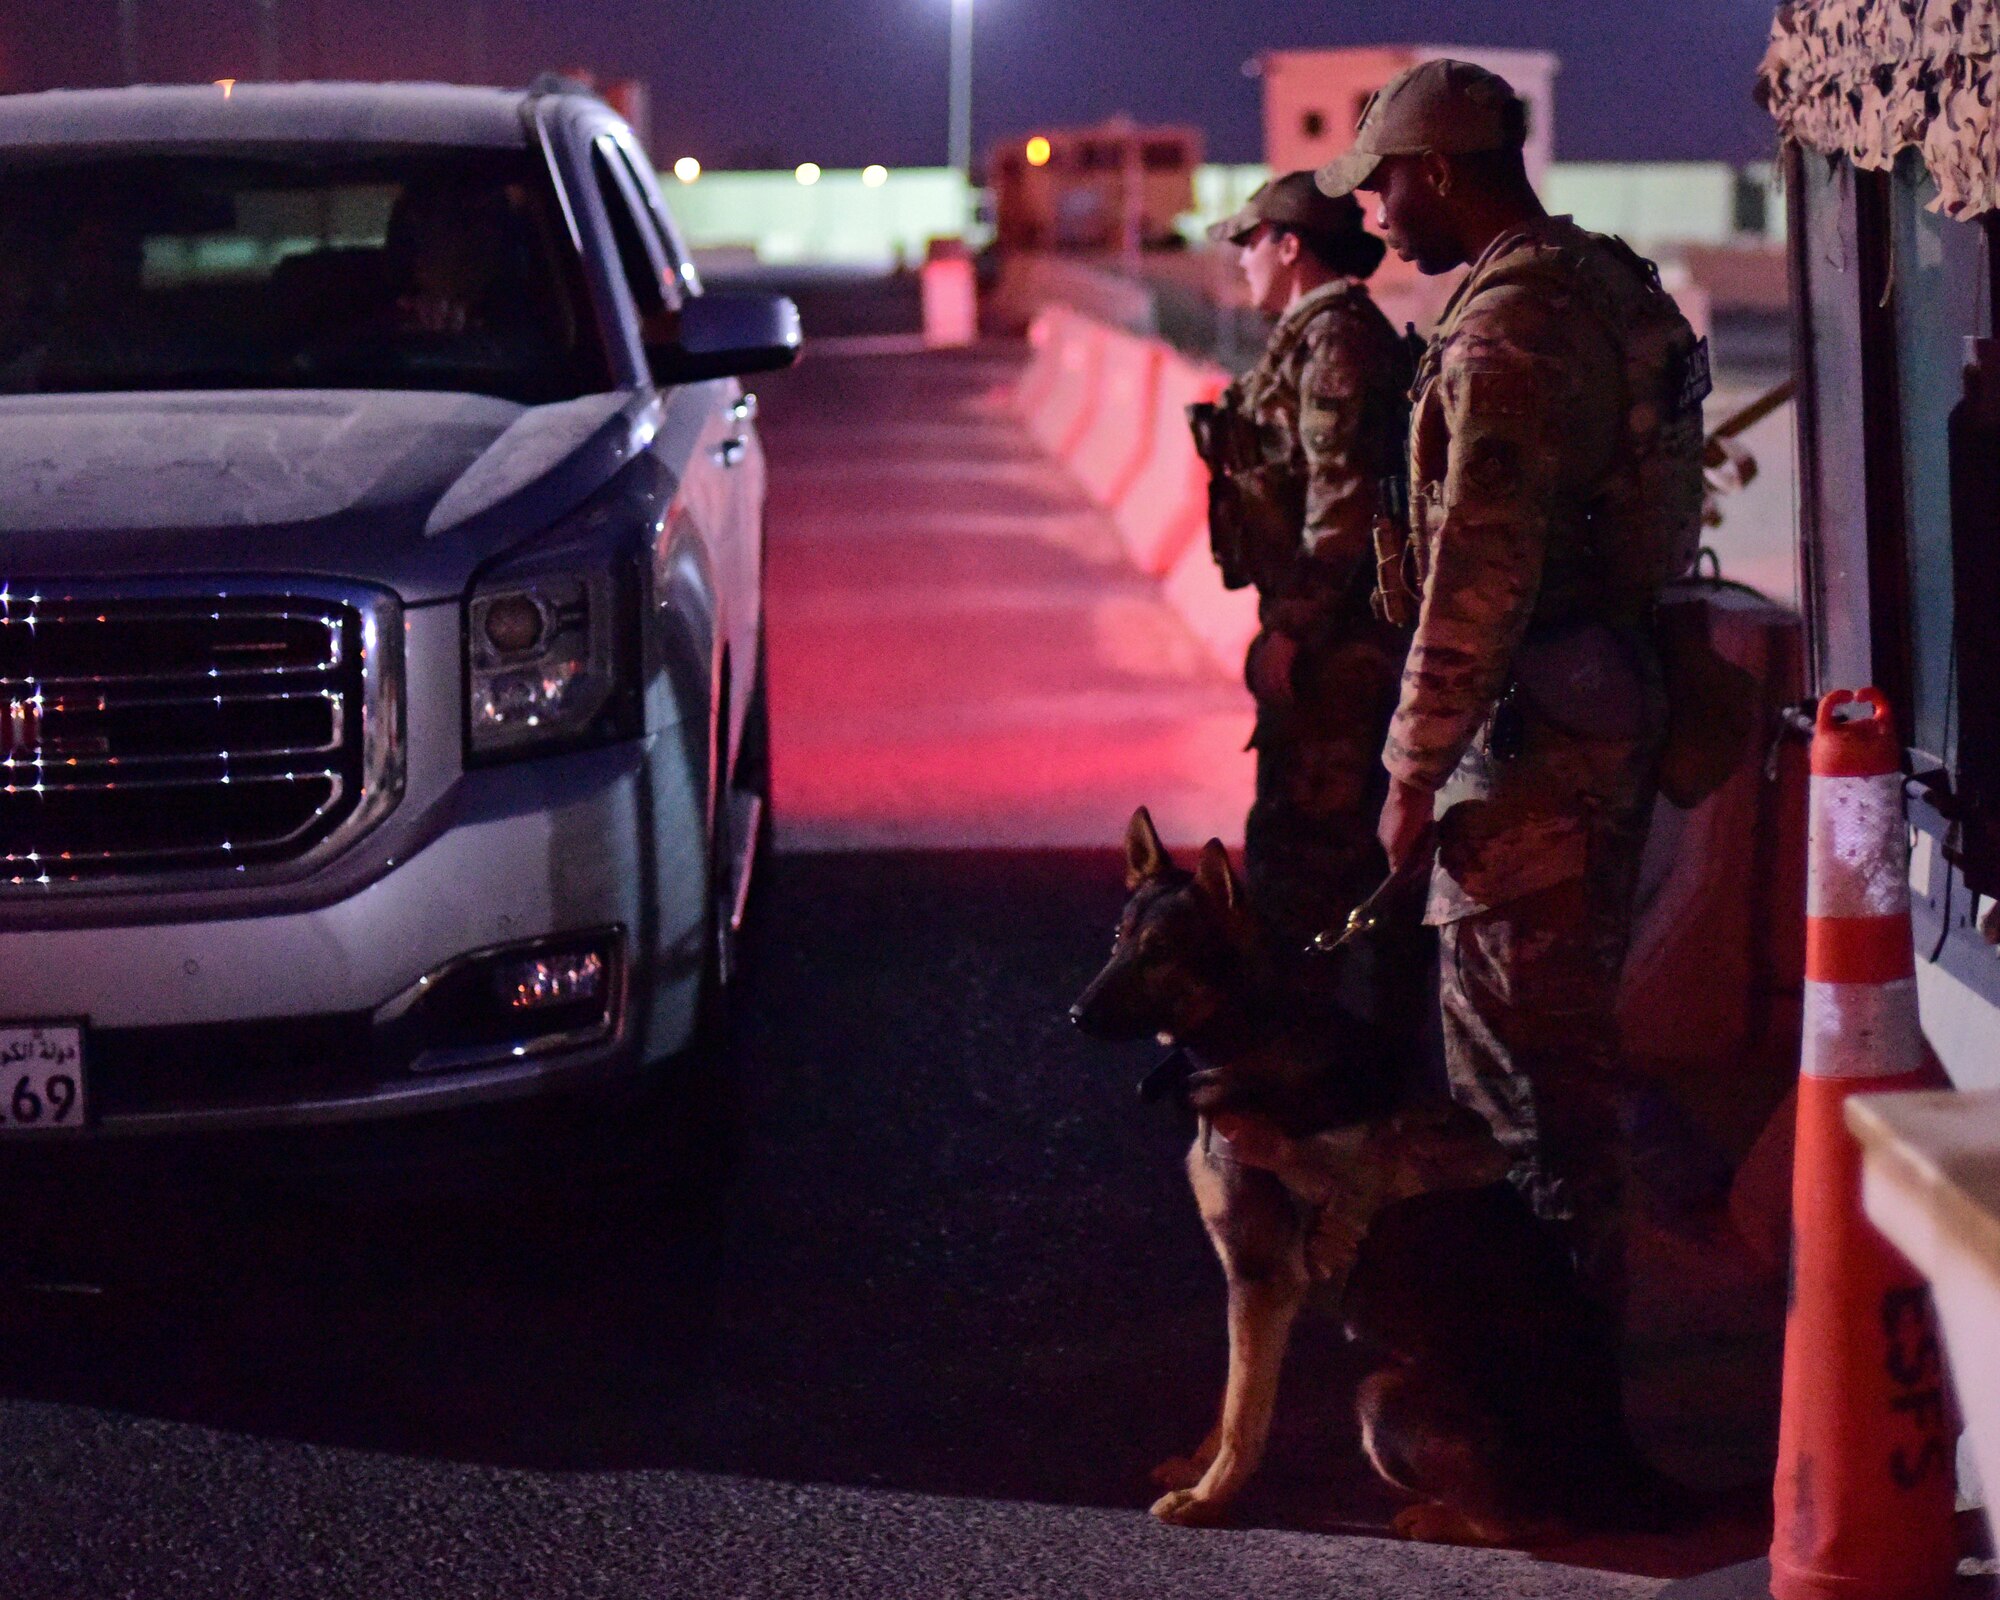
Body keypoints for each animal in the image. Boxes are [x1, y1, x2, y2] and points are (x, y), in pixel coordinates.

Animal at [1072, 808, 1680, 1544]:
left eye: (1160, 951)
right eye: (1118, 940)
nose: (1076, 1015)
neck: (1252, 1032)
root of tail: (1622, 1471)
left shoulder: (1262, 1277)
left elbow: (1245, 1412)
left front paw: (1210, 1497)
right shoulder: (1258, 1284)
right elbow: (1229, 1396)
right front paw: (1199, 1467)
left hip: (1381, 1393)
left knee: (1518, 1524)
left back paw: (1435, 1516)